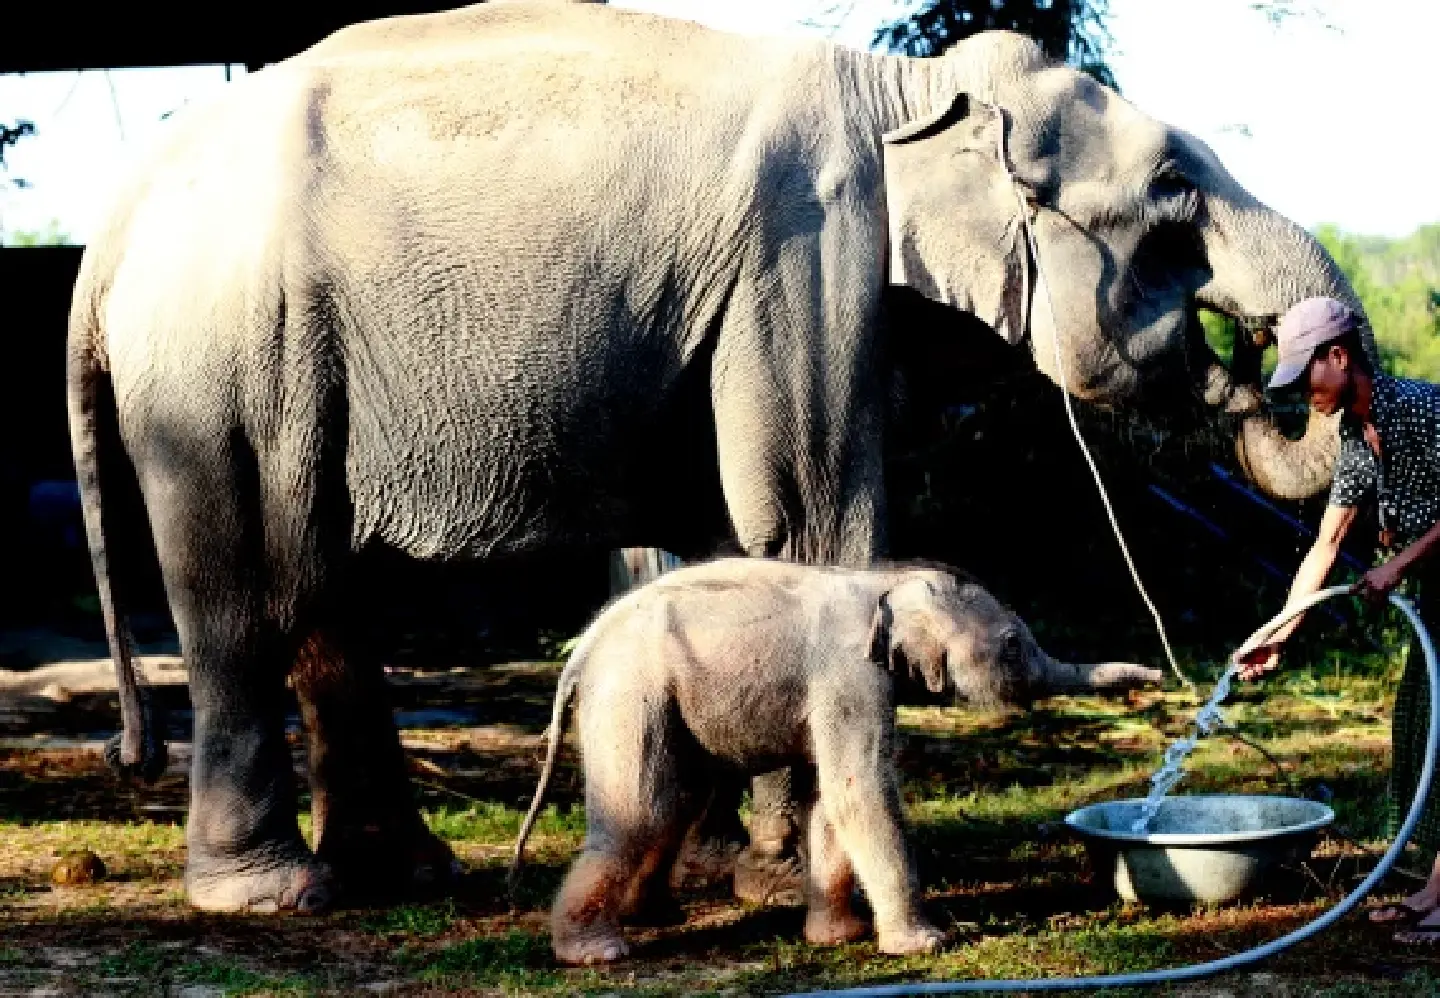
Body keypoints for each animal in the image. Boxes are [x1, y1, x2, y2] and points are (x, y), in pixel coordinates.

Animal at [67, 0, 1368, 913]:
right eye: (1173, 190)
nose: (1281, 364)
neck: (897, 88)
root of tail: (112, 225)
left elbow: (702, 535)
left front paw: (702, 858)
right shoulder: (806, 245)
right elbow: (805, 517)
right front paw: (780, 871)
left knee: (326, 588)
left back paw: (406, 876)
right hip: (225, 357)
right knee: (249, 592)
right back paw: (273, 892)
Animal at [508, 558, 1162, 963]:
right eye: (1012, 645)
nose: (1159, 676)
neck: (886, 580)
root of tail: (583, 647)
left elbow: (828, 798)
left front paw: (838, 938)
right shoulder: (851, 673)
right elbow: (860, 789)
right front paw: (925, 944)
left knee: (674, 803)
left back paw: (655, 917)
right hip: (630, 691)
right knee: (639, 810)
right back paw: (595, 951)